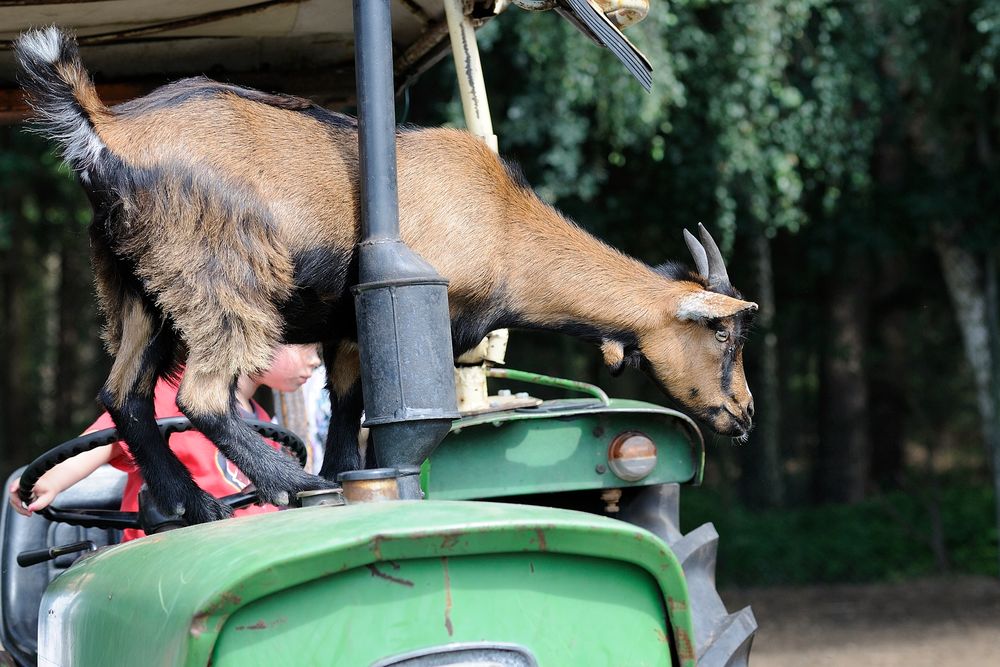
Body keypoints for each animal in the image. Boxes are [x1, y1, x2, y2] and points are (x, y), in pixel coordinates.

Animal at [17, 28, 756, 524]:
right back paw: (288, 483)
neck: (504, 223)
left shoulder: (345, 329)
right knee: (201, 393)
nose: (745, 415)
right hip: (223, 272)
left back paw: (195, 505)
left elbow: (348, 417)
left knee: (125, 394)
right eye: (725, 335)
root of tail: (107, 128)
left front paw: (354, 480)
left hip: (136, 287)